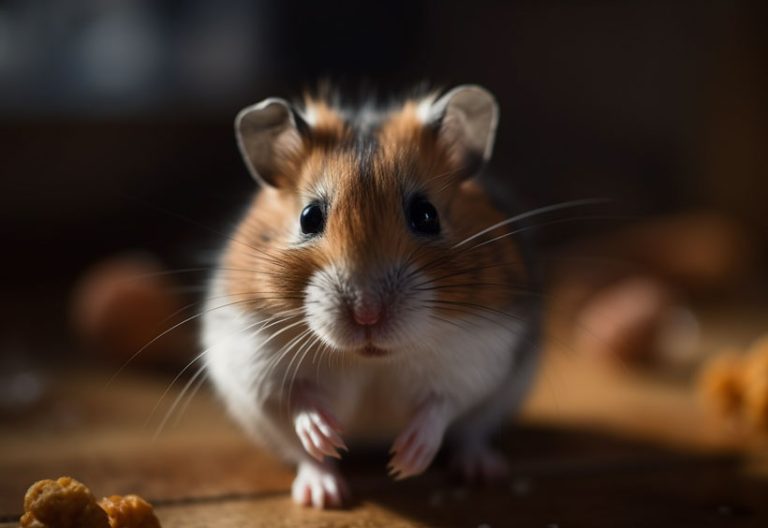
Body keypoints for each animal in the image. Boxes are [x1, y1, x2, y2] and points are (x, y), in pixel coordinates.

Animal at [202, 85, 540, 509]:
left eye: (426, 215)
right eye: (309, 217)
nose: (367, 316)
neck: (371, 360)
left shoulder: (477, 359)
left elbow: (442, 405)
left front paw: (404, 462)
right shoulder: (258, 366)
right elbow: (296, 400)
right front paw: (326, 437)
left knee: (471, 435)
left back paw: (482, 471)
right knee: (304, 457)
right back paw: (323, 494)